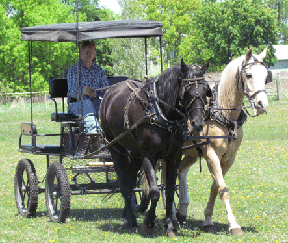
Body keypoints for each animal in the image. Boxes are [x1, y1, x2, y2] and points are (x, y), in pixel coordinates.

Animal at [100, 59, 213, 236]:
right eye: (187, 90)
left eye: (205, 90)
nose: (198, 123)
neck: (161, 113)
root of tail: (109, 93)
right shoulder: (148, 155)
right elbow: (154, 191)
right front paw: (149, 222)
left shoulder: (173, 156)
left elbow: (169, 191)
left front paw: (170, 226)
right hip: (115, 147)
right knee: (124, 184)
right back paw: (132, 221)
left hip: (135, 153)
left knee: (130, 181)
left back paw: (127, 216)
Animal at [176, 48, 270, 235]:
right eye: (248, 75)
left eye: (265, 76)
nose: (262, 105)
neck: (222, 113)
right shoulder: (211, 154)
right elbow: (223, 189)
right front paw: (234, 224)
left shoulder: (228, 158)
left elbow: (216, 187)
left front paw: (208, 220)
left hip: (191, 153)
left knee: (180, 172)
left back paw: (181, 211)